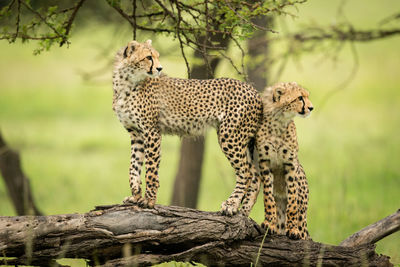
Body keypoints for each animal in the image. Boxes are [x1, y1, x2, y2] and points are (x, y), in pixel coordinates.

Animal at [111, 39, 264, 216]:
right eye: (148, 57)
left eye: (157, 56)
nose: (159, 68)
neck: (126, 82)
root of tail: (253, 90)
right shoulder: (136, 134)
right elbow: (134, 167)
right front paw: (135, 197)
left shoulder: (152, 132)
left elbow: (150, 168)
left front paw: (148, 201)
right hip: (242, 139)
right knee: (255, 175)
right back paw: (244, 211)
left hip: (230, 136)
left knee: (246, 172)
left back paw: (231, 204)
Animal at [248, 82, 314, 241]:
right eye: (300, 98)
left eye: (307, 96)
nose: (311, 108)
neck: (279, 121)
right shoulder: (265, 163)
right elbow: (268, 196)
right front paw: (269, 223)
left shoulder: (290, 164)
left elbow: (292, 200)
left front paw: (293, 229)